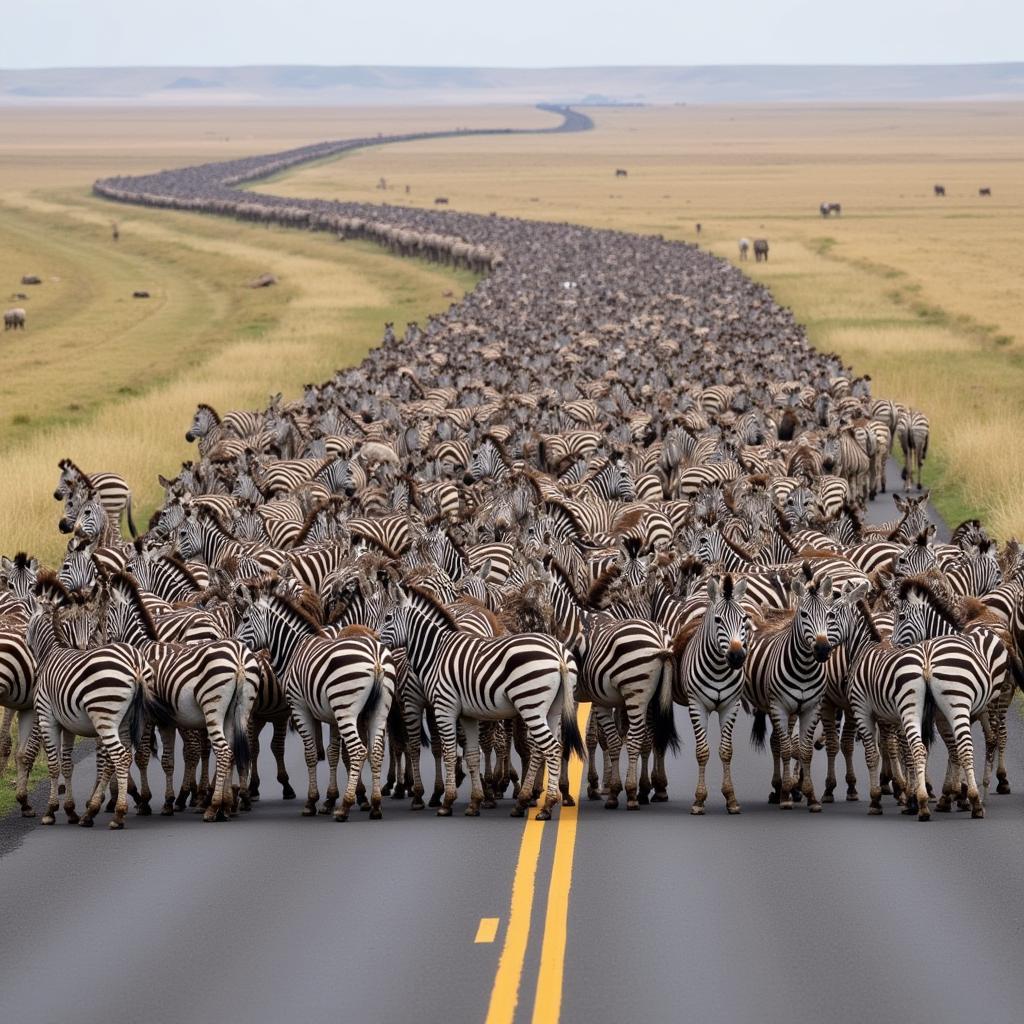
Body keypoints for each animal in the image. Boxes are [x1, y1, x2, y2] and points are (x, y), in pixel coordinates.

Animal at [233, 581, 395, 819]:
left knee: (358, 751)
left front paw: (313, 801)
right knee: (374, 751)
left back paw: (345, 807)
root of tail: (375, 657)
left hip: (345, 710)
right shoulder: (331, 715)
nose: (234, 643)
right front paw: (330, 799)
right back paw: (375, 805)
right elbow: (332, 752)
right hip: (377, 710)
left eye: (245, 620)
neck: (294, 647)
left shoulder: (300, 707)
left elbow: (310, 753)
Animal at [378, 585, 585, 815]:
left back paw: (544, 805)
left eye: (387, 617)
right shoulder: (467, 714)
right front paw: (475, 801)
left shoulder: (444, 707)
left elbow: (449, 752)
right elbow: (472, 755)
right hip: (554, 709)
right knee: (548, 747)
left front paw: (447, 801)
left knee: (551, 748)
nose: (376, 641)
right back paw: (533, 801)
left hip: (530, 705)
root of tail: (558, 653)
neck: (436, 652)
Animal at [675, 577, 749, 815]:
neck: (718, 668)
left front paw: (731, 799)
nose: (737, 657)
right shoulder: (697, 705)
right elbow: (702, 751)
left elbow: (726, 751)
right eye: (718, 620)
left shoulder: (731, 705)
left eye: (744, 619)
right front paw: (699, 800)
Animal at [745, 573, 839, 811]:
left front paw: (810, 795)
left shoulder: (811, 708)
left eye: (829, 615)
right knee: (777, 743)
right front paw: (787, 793)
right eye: (804, 615)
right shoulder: (779, 706)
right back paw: (779, 788)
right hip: (772, 705)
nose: (823, 650)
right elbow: (787, 748)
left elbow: (804, 750)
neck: (804, 669)